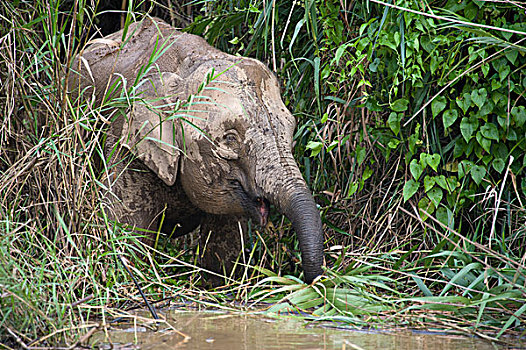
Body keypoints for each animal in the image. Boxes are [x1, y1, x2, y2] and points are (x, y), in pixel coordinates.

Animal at [69, 17, 326, 284]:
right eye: (229, 139)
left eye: (290, 133)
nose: (312, 280)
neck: (189, 67)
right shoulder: (126, 141)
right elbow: (126, 230)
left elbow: (222, 250)